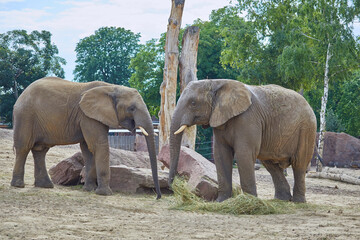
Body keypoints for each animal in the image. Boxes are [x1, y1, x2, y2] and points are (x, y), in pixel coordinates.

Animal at [10, 77, 162, 199]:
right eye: (131, 108)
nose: (157, 197)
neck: (110, 87)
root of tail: (22, 94)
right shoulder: (87, 116)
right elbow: (98, 145)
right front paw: (105, 194)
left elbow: (87, 149)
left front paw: (88, 189)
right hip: (25, 115)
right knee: (23, 147)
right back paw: (18, 185)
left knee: (40, 150)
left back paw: (45, 185)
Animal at [168, 79, 316, 202]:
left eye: (193, 103)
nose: (173, 186)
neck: (215, 83)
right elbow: (221, 155)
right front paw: (221, 201)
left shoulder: (247, 118)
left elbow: (243, 154)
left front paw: (251, 202)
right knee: (271, 165)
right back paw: (282, 200)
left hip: (307, 129)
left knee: (299, 164)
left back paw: (298, 202)